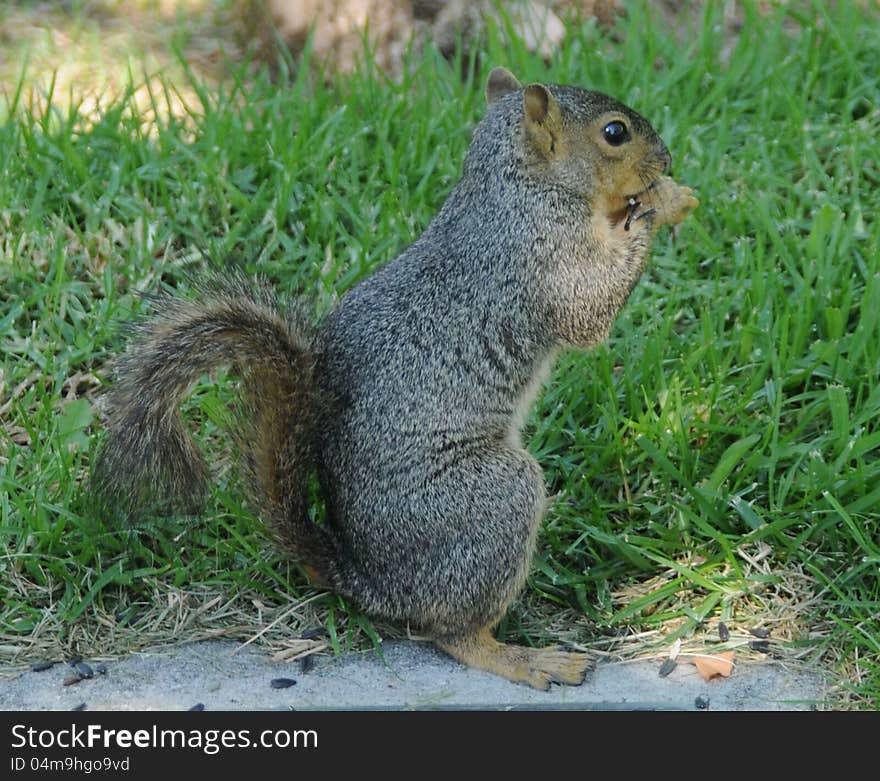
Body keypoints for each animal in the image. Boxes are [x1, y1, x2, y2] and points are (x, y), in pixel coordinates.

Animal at [93, 68, 696, 688]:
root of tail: (369, 582)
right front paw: (664, 203)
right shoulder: (542, 258)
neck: (517, 189)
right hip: (490, 504)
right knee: (455, 634)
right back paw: (523, 659)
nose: (667, 158)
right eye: (615, 132)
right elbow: (588, 313)